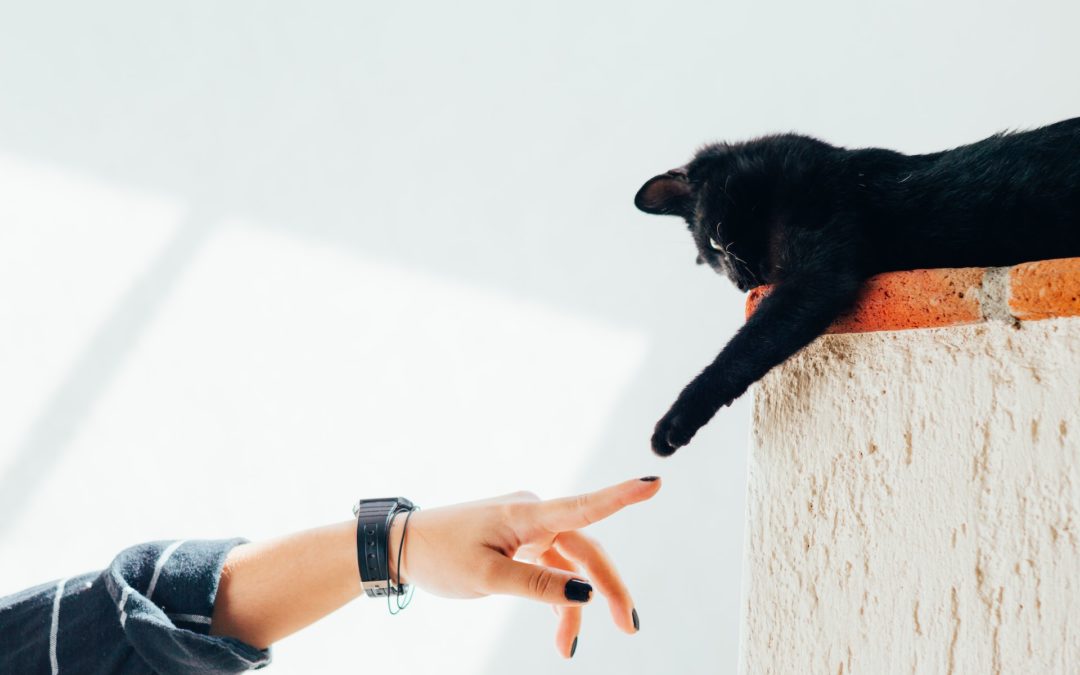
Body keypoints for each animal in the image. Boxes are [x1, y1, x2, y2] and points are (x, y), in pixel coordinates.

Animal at [630, 115, 1080, 455]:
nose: (743, 284)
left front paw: (674, 421)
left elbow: (743, 350)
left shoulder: (816, 273)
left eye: (717, 245)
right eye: (713, 261)